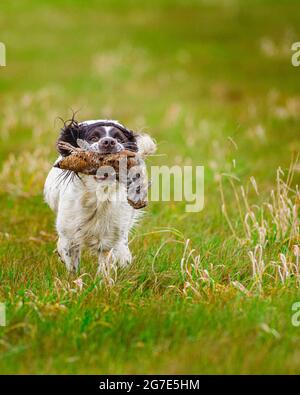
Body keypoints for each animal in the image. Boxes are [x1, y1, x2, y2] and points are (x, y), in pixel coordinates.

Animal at [44, 118, 157, 276]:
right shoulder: (68, 236)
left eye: (119, 138)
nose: (108, 142)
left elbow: (108, 263)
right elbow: (71, 263)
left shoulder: (109, 239)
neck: (99, 197)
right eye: (93, 138)